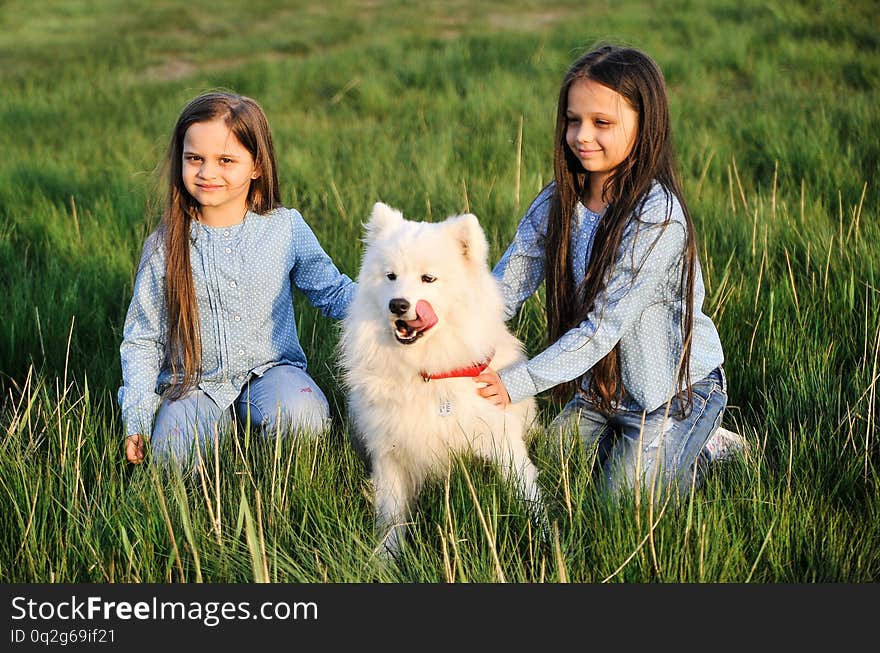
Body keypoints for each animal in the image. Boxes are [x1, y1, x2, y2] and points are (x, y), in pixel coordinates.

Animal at [340, 202, 548, 556]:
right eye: (390, 276)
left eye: (428, 278)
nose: (398, 305)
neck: (425, 372)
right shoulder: (390, 453)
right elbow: (391, 515)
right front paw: (384, 557)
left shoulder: (501, 441)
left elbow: (527, 492)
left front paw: (549, 535)